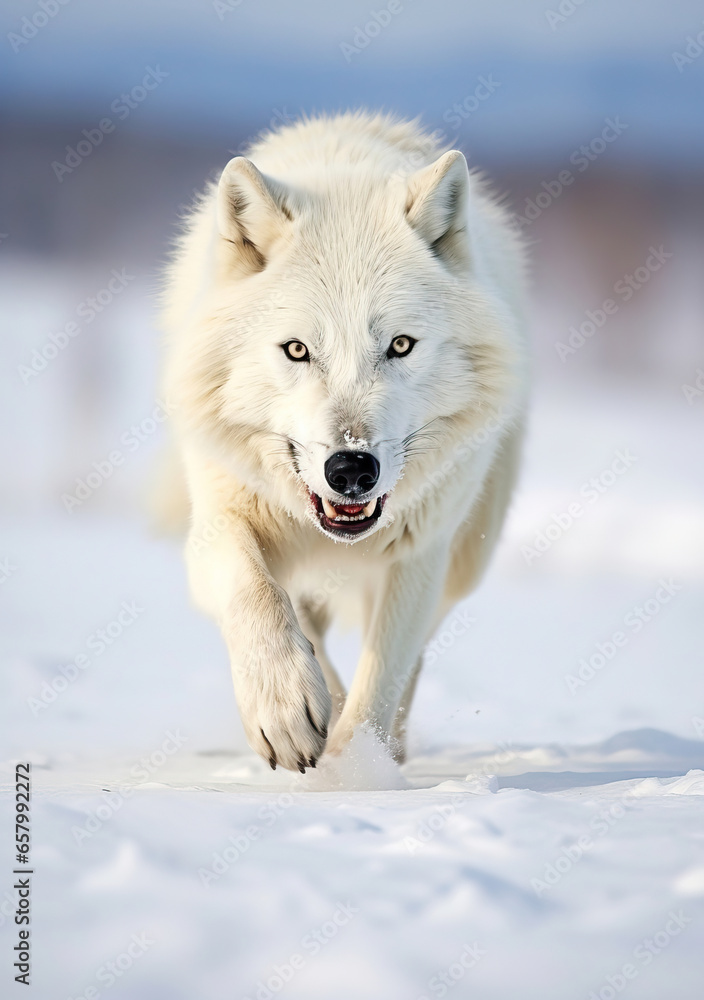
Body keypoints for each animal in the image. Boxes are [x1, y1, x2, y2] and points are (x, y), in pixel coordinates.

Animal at [161, 115, 528, 772]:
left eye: (401, 345)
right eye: (297, 350)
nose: (352, 469)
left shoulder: (418, 557)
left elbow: (381, 681)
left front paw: (356, 774)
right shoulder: (219, 524)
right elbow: (256, 593)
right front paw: (287, 709)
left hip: (462, 560)